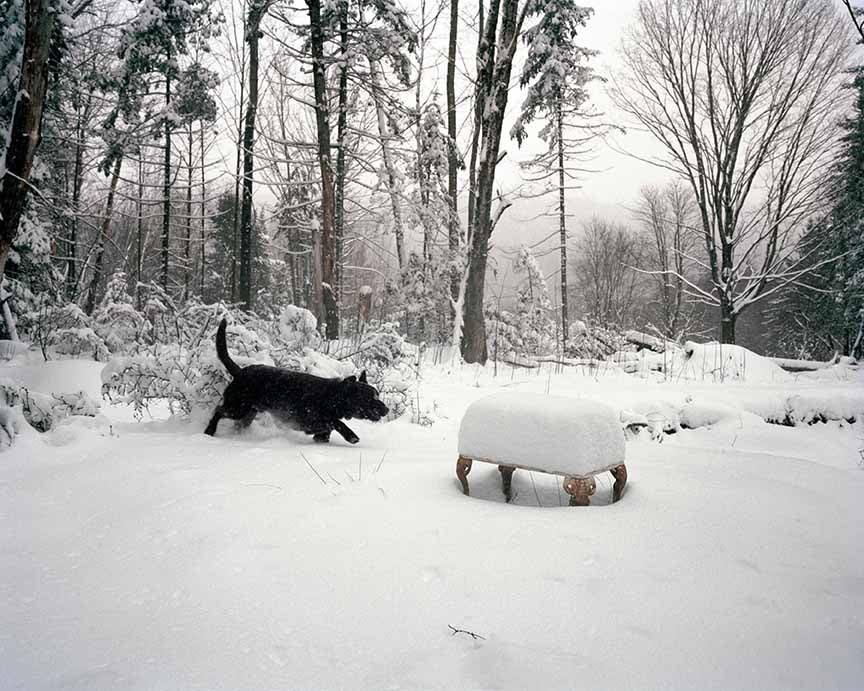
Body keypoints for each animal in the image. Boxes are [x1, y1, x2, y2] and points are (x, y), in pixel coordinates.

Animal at [204, 318, 386, 444]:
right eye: (370, 398)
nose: (387, 409)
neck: (334, 396)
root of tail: (240, 371)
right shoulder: (312, 420)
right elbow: (337, 422)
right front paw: (351, 435)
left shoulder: (319, 431)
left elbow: (328, 430)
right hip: (237, 408)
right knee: (218, 411)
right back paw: (209, 431)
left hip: (248, 413)